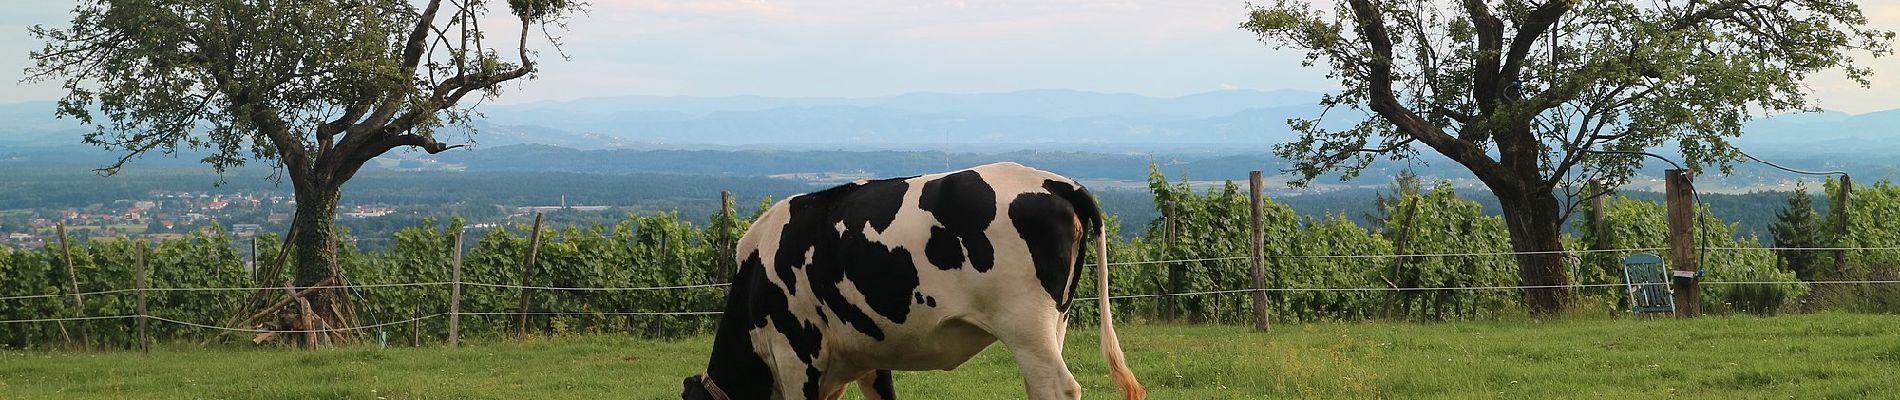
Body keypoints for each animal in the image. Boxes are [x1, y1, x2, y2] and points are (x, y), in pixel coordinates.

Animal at [684, 162, 1140, 400]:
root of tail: (1055, 181)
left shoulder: (797, 357)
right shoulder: (864, 359)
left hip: (1026, 325)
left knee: (1058, 388)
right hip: (1053, 325)